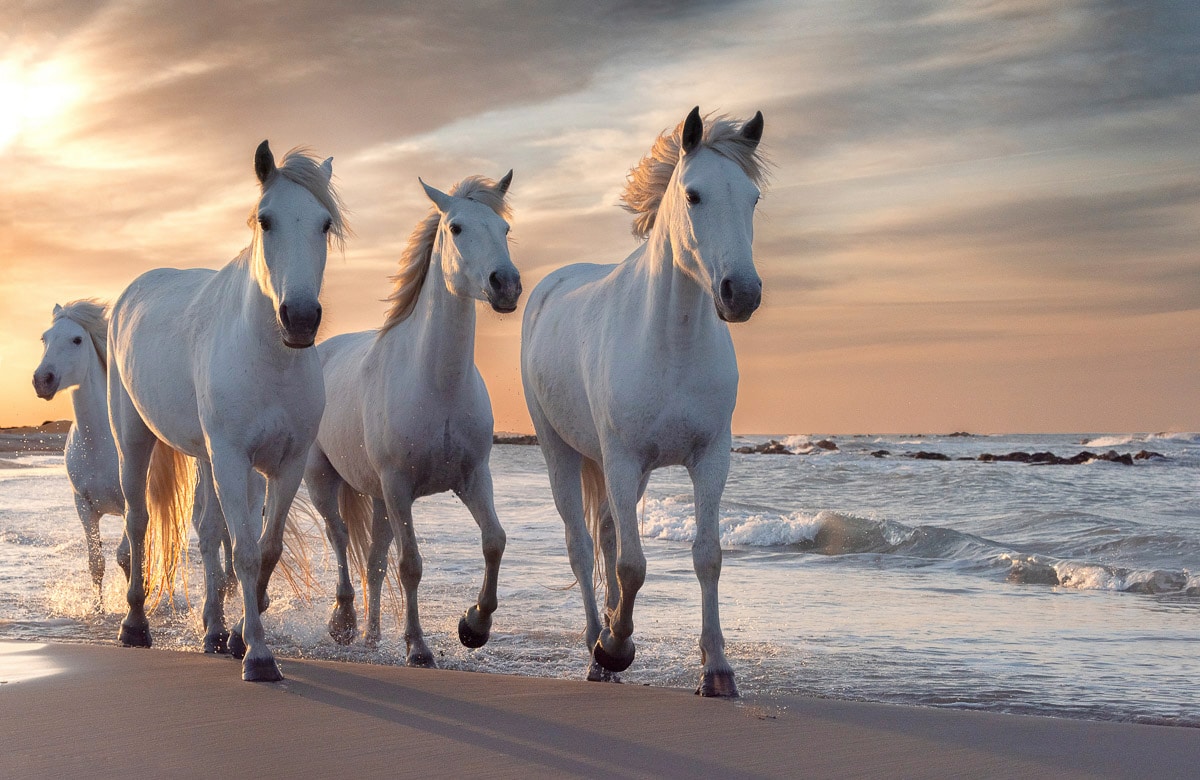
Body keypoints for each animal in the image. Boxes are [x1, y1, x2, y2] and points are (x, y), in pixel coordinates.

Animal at [32, 300, 235, 617]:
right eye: (45, 338)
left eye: (77, 340)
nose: (43, 380)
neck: (98, 443)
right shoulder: (84, 506)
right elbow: (97, 563)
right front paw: (99, 610)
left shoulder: (131, 501)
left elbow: (125, 556)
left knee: (223, 536)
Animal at [108, 141, 346, 681]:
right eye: (266, 220)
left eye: (324, 223)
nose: (300, 318)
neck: (270, 360)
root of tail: (131, 292)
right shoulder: (234, 460)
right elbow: (245, 552)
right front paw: (258, 656)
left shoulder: (286, 464)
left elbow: (265, 548)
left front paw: (238, 637)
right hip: (133, 439)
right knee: (138, 521)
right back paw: (134, 625)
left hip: (205, 456)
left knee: (206, 531)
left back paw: (214, 632)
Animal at [303, 172, 519, 666]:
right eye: (456, 228)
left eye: (504, 229)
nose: (506, 284)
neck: (436, 384)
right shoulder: (400, 485)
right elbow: (411, 565)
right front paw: (418, 647)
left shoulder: (472, 478)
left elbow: (494, 541)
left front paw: (474, 626)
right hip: (324, 480)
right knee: (340, 537)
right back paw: (344, 623)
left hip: (379, 499)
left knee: (374, 561)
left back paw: (371, 636)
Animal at [521, 107, 767, 697]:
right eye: (694, 195)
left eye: (752, 199)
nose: (742, 293)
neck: (670, 343)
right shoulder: (623, 458)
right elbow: (633, 566)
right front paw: (614, 647)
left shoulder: (709, 459)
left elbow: (707, 556)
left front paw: (717, 669)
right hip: (561, 452)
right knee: (582, 547)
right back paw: (597, 647)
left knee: (607, 534)